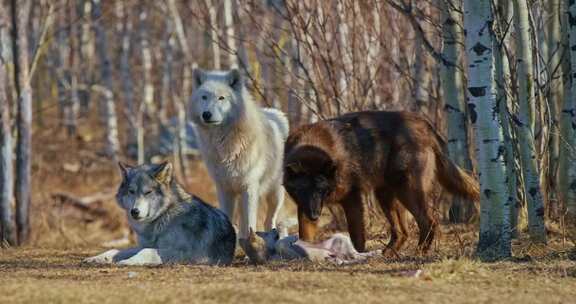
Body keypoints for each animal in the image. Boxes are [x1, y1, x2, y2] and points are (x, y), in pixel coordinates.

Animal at [188, 68, 288, 240]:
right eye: (204, 97)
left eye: (221, 98)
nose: (206, 114)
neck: (226, 145)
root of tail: (275, 113)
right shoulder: (224, 188)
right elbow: (227, 217)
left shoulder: (249, 187)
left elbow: (250, 224)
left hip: (275, 194)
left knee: (269, 220)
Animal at [284, 111, 482, 254]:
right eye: (303, 190)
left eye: (321, 189)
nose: (314, 215)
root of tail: (424, 124)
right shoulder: (304, 206)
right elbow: (304, 234)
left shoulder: (352, 199)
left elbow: (356, 234)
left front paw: (357, 254)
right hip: (386, 195)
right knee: (402, 232)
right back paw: (389, 253)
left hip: (407, 191)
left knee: (429, 222)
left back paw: (419, 252)